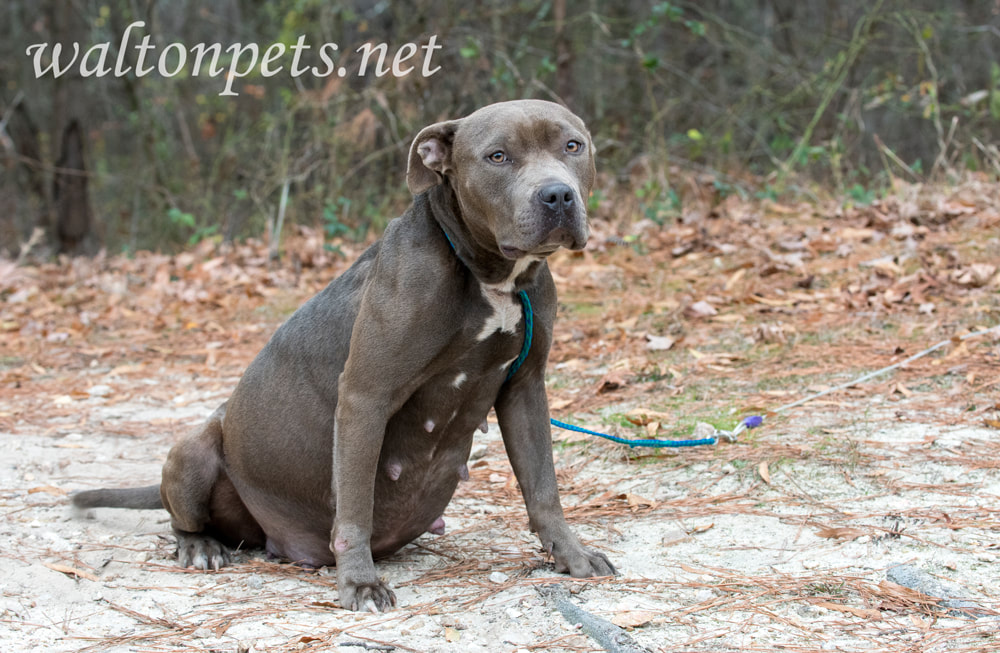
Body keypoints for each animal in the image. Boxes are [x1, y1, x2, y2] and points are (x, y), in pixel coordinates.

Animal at [70, 98, 612, 612]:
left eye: (572, 146)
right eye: (498, 156)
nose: (558, 195)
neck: (490, 276)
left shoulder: (524, 388)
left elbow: (543, 489)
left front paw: (571, 555)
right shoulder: (364, 396)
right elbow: (354, 506)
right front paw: (360, 583)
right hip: (194, 448)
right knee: (181, 515)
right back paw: (199, 546)